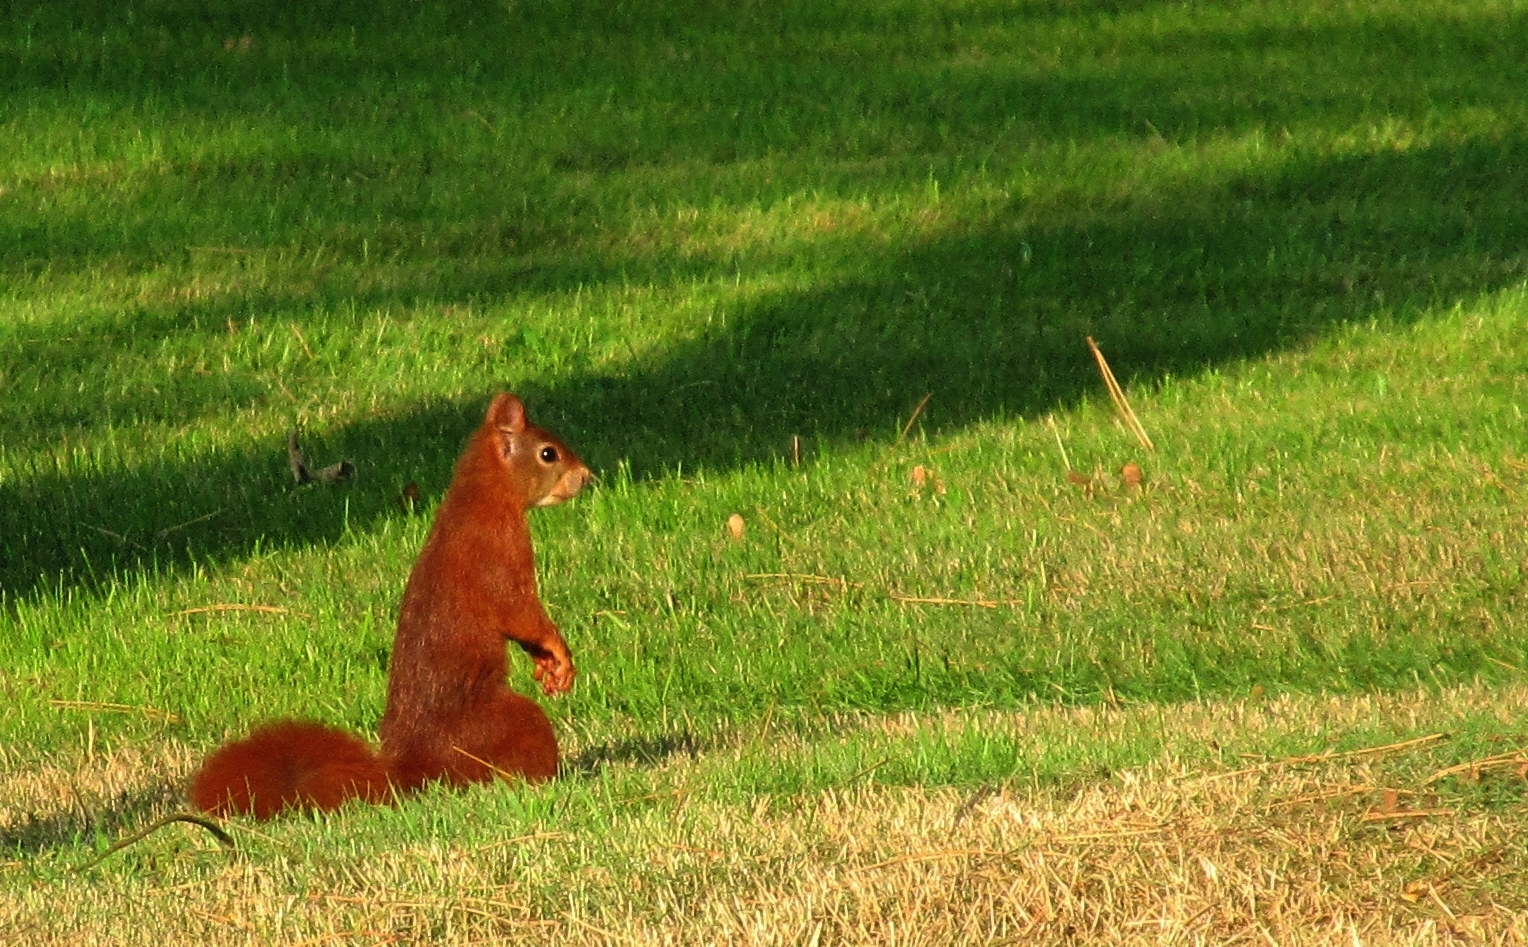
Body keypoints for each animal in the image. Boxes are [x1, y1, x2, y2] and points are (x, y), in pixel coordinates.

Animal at [189, 397, 589, 818]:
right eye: (548, 453)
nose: (586, 476)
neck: (481, 497)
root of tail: (414, 768)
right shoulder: (498, 555)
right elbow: (521, 613)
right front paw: (559, 653)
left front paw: (547, 664)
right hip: (506, 725)